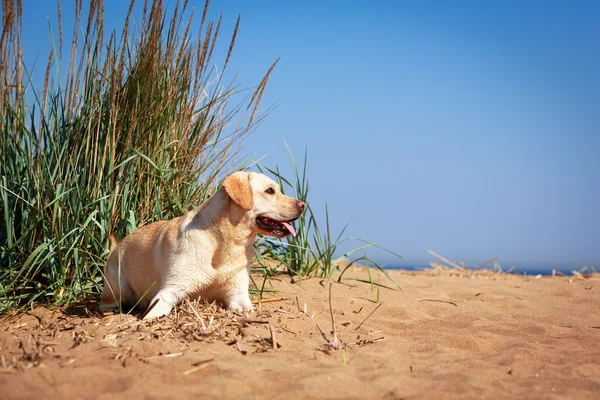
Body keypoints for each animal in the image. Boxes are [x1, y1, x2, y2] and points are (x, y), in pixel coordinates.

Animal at [100, 171, 304, 318]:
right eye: (270, 190)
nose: (303, 205)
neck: (225, 242)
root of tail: (116, 248)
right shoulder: (167, 293)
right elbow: (154, 313)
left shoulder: (238, 294)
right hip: (118, 288)